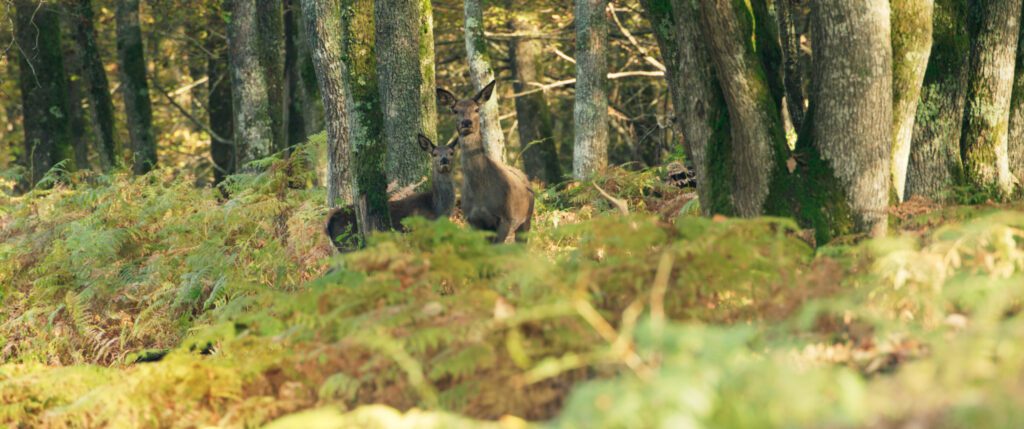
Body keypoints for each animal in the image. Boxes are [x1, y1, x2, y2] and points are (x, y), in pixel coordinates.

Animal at [325, 133, 458, 251]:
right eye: (434, 154)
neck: (436, 208)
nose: (444, 160)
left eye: (451, 153)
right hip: (348, 242)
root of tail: (328, 224)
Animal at [434, 79, 536, 241]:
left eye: (476, 109)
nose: (466, 122)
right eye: (455, 110)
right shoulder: (473, 220)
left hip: (527, 218)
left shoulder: (505, 218)